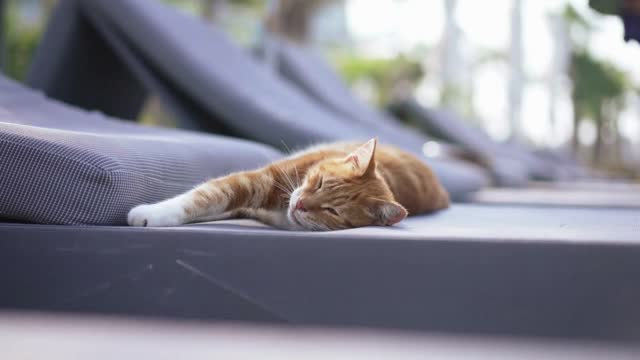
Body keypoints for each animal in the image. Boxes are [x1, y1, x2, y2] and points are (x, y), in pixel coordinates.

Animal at [127, 138, 450, 231]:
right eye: (319, 183)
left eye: (332, 211)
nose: (301, 203)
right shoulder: (257, 181)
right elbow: (202, 197)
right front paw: (153, 213)